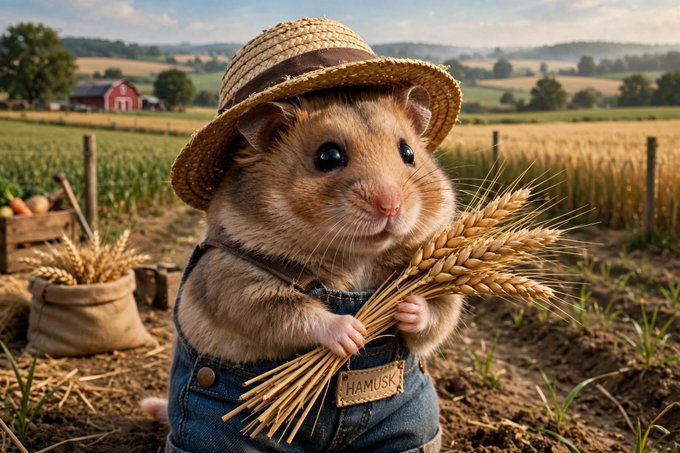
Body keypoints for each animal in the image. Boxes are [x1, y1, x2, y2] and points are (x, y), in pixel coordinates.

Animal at [176, 85, 463, 364]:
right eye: (329, 157)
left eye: (408, 152)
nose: (390, 207)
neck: (358, 258)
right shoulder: (236, 282)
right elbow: (296, 314)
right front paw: (355, 334)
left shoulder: (445, 288)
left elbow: (437, 314)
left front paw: (407, 306)